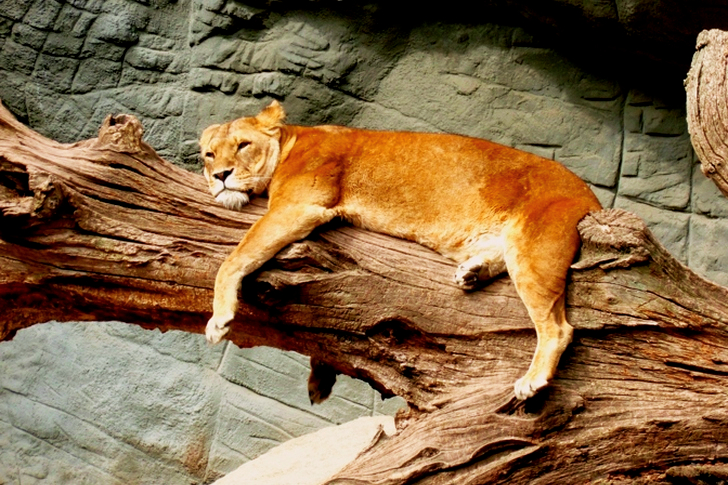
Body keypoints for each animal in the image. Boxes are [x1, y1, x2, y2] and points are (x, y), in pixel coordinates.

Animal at [200, 100, 602, 401]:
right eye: (208, 154)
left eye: (242, 145)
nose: (220, 176)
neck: (290, 142)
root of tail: (591, 196)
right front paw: (319, 380)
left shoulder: (300, 206)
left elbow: (236, 256)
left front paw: (219, 320)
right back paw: (472, 273)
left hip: (535, 249)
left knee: (558, 327)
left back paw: (532, 381)